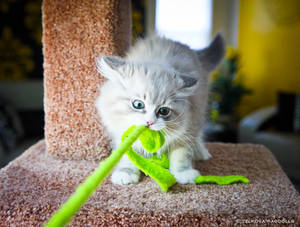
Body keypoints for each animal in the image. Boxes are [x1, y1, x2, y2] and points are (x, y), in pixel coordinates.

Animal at [95, 34, 224, 185]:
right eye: (138, 104)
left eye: (163, 111)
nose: (150, 122)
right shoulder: (121, 134)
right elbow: (127, 156)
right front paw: (125, 173)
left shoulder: (187, 128)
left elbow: (181, 155)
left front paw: (184, 173)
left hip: (199, 113)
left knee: (197, 137)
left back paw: (200, 152)